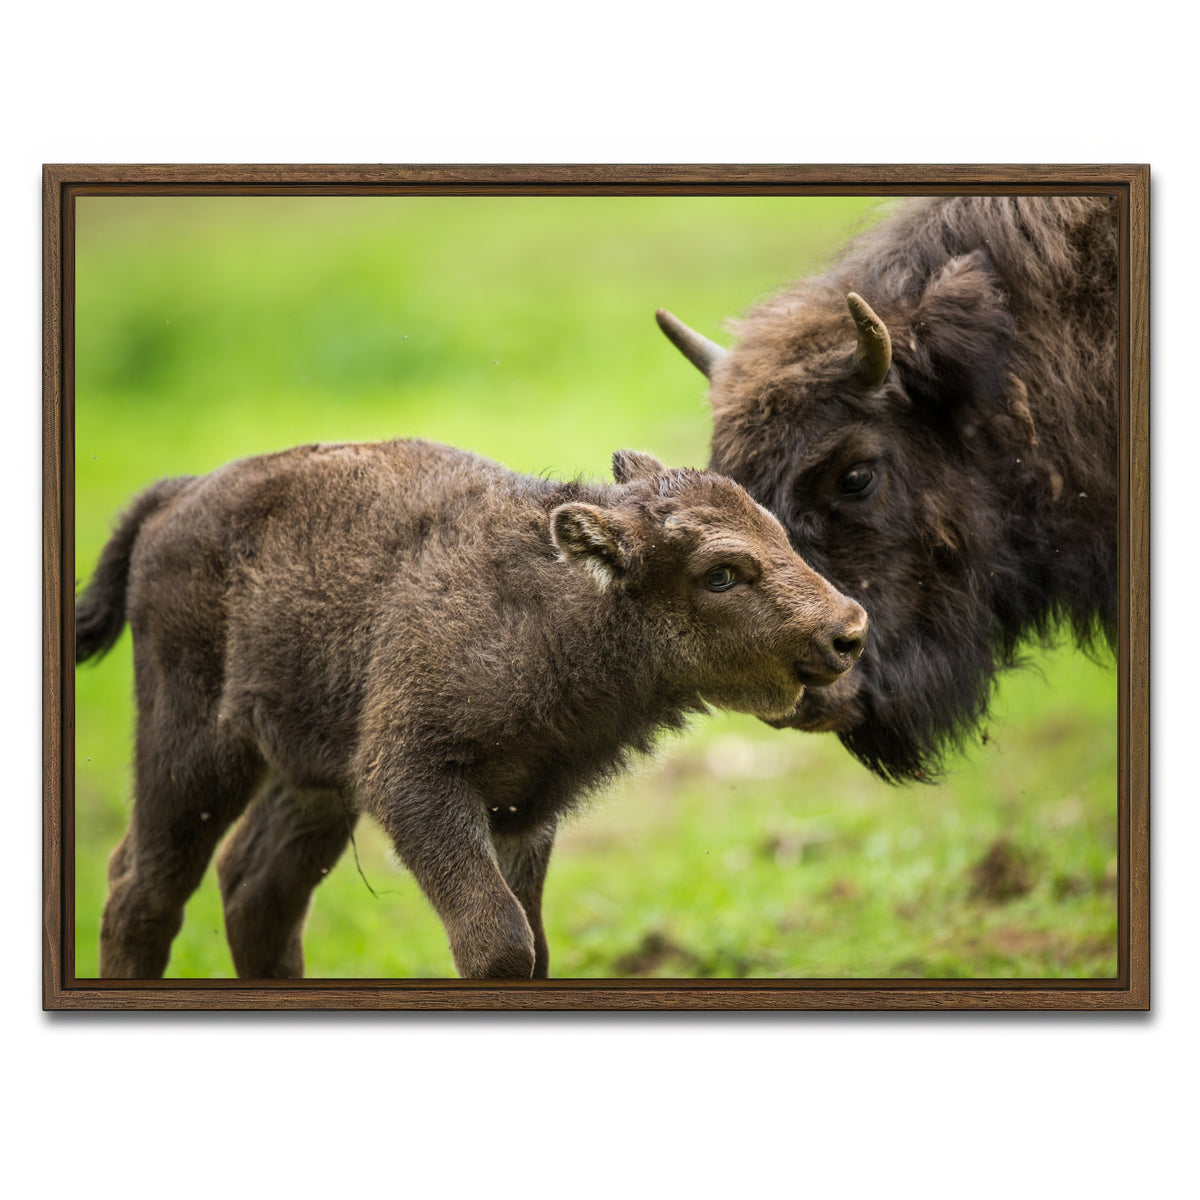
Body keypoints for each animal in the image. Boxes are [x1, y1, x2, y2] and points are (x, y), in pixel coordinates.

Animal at [76, 439, 866, 979]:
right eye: (720, 573)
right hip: (194, 752)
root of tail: (175, 498)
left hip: (313, 781)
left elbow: (534, 942)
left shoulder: (524, 810)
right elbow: (500, 942)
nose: (848, 632)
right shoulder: (416, 781)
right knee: (144, 887)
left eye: (779, 531)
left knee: (257, 889)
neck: (560, 606)